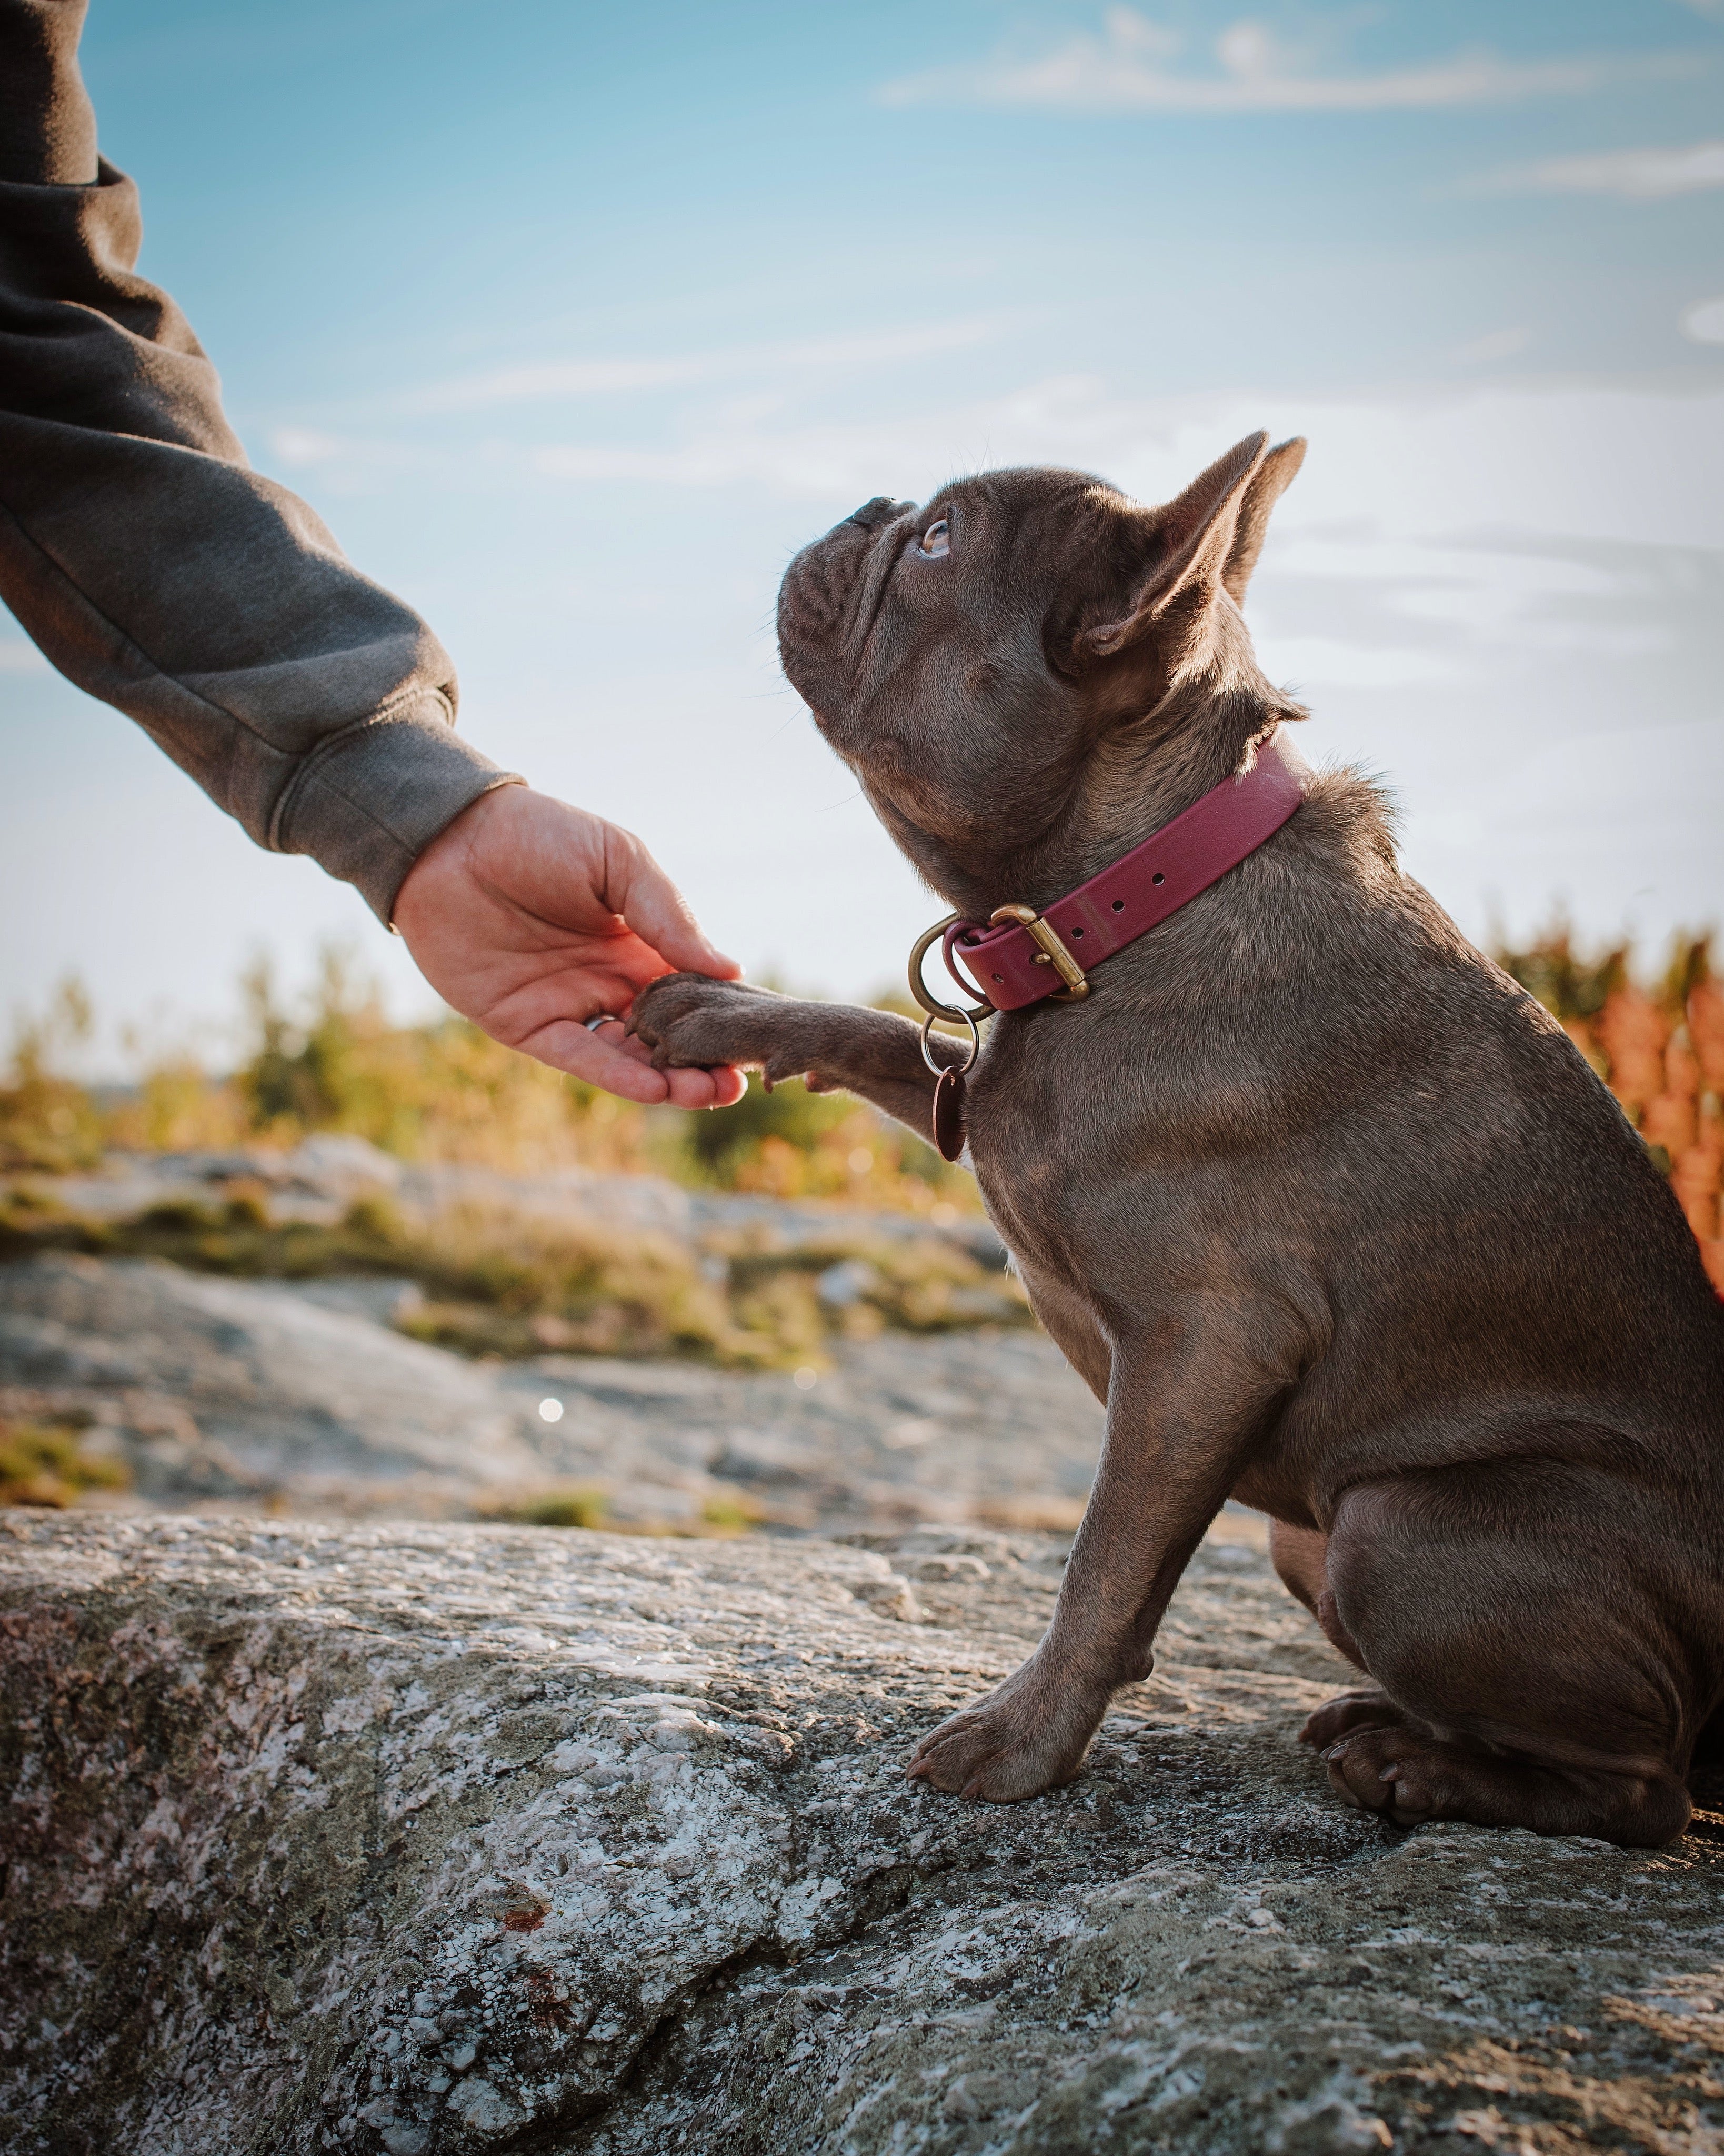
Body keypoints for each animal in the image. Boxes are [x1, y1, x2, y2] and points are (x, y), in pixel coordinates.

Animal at [629, 429, 1723, 1845]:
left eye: (937, 543)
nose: (871, 507)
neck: (1123, 902)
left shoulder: (1204, 1343)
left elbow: (1104, 1566)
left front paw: (1023, 1743)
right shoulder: (978, 1092)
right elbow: (881, 1037)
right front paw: (718, 1011)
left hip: (1395, 1525)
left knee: (1645, 1790)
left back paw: (1422, 1768)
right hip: (1315, 1537)